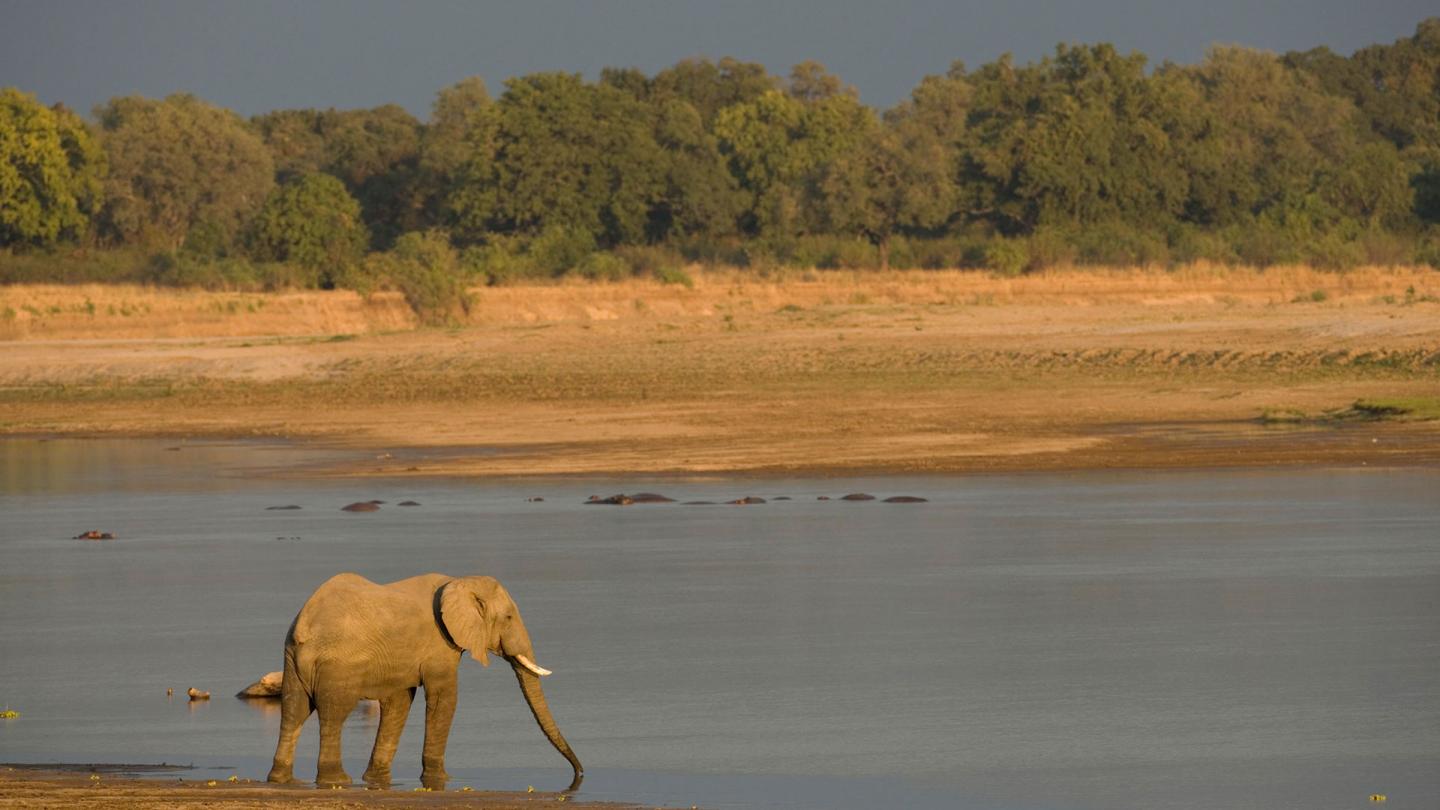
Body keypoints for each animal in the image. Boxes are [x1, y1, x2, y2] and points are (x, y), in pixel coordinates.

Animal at [266, 573, 582, 790]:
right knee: (333, 714)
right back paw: (337, 780)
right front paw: (441, 779)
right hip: (337, 664)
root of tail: (305, 626)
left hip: (291, 658)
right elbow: (444, 698)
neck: (458, 582)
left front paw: (376, 778)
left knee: (294, 711)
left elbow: (399, 702)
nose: (579, 775)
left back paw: (281, 779)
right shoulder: (439, 645)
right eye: (508, 617)